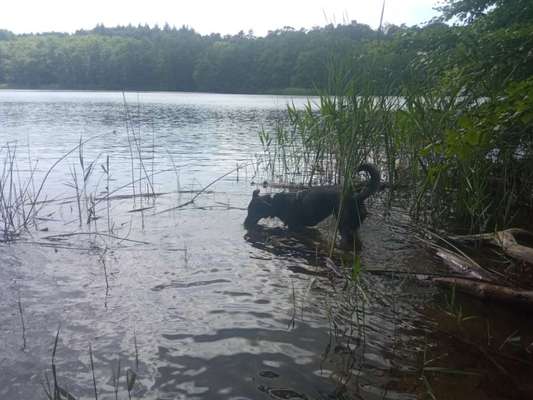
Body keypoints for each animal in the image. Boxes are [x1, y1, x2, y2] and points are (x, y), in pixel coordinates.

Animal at [243, 163, 380, 247]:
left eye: (252, 211)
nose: (244, 224)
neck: (276, 203)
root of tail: (356, 197)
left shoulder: (295, 226)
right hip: (354, 226)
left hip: (344, 225)